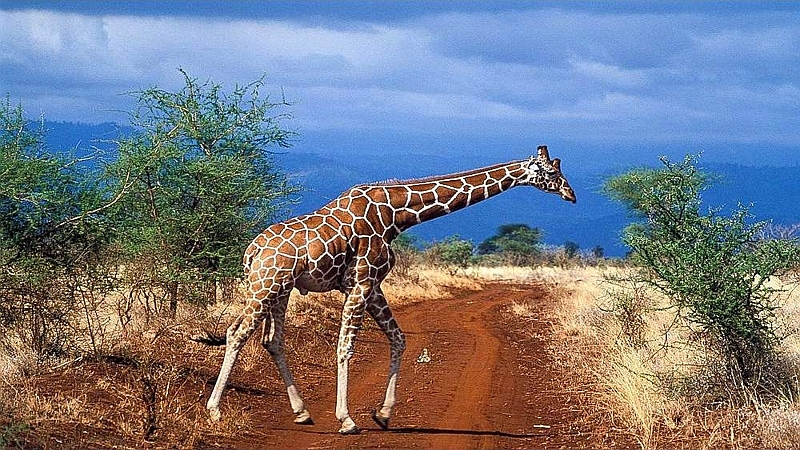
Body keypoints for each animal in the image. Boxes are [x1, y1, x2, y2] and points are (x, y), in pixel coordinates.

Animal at [196, 145, 576, 434]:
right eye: (551, 172)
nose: (571, 195)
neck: (397, 215)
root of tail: (250, 253)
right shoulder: (362, 282)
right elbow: (345, 348)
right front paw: (347, 420)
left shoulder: (373, 285)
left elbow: (399, 339)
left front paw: (383, 414)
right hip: (266, 284)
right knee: (236, 333)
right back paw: (214, 410)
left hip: (282, 289)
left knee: (272, 341)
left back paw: (302, 412)